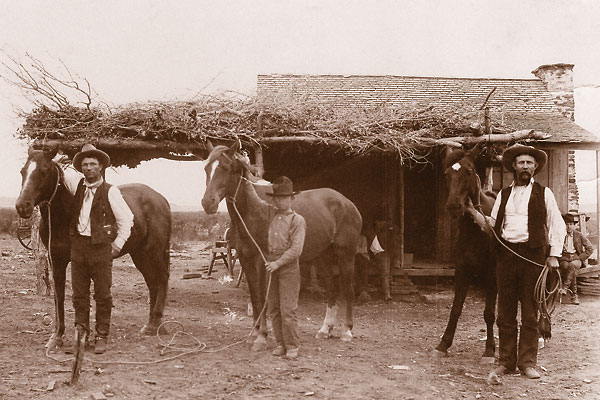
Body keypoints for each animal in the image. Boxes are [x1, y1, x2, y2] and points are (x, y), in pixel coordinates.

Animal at [14, 148, 172, 348]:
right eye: (22, 171)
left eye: (43, 171)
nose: (22, 206)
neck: (63, 217)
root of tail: (161, 199)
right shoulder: (56, 260)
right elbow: (59, 296)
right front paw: (57, 336)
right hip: (140, 254)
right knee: (153, 283)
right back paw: (151, 324)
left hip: (154, 251)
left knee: (162, 278)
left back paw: (155, 324)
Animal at [202, 143, 360, 350]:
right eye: (207, 169)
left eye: (226, 168)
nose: (208, 203)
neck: (253, 210)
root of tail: (347, 203)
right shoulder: (245, 259)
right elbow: (255, 297)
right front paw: (254, 334)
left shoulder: (261, 261)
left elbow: (262, 297)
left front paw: (262, 336)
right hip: (323, 257)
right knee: (332, 290)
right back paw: (325, 330)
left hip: (346, 256)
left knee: (348, 290)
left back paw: (347, 332)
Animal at [434, 145, 500, 358]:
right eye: (447, 174)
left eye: (469, 171)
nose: (454, 206)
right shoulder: (462, 270)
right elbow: (455, 309)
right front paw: (443, 344)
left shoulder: (492, 275)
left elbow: (489, 313)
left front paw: (489, 350)